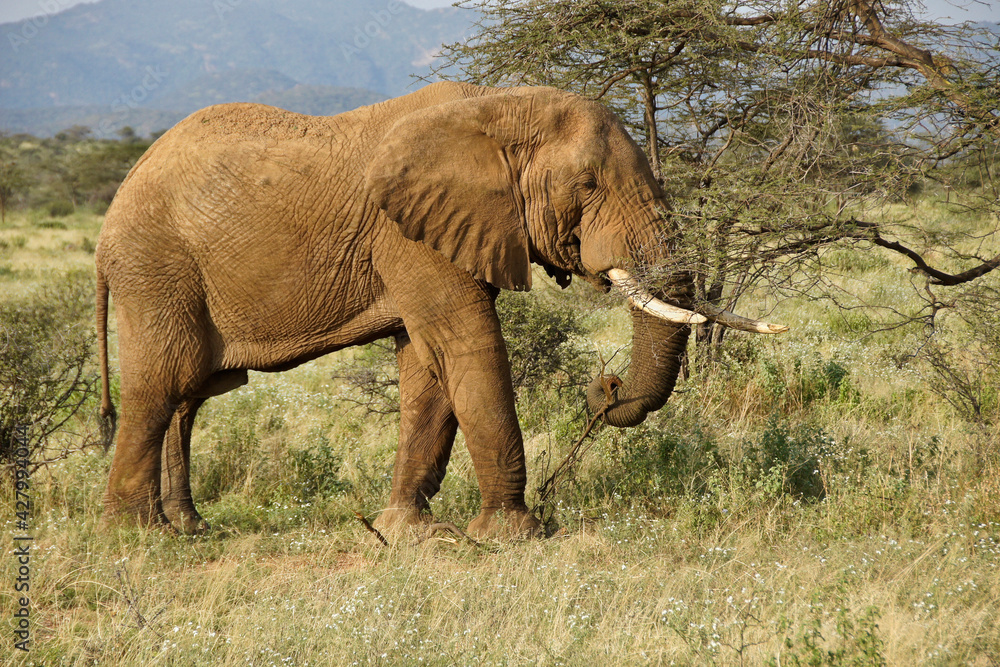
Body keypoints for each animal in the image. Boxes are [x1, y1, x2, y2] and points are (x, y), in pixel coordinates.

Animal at [95, 81, 785, 538]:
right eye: (588, 186)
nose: (605, 389)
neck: (496, 107)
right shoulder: (410, 235)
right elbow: (467, 347)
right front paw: (512, 536)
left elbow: (427, 371)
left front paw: (406, 531)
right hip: (157, 268)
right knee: (162, 383)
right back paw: (140, 536)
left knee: (190, 395)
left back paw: (188, 527)